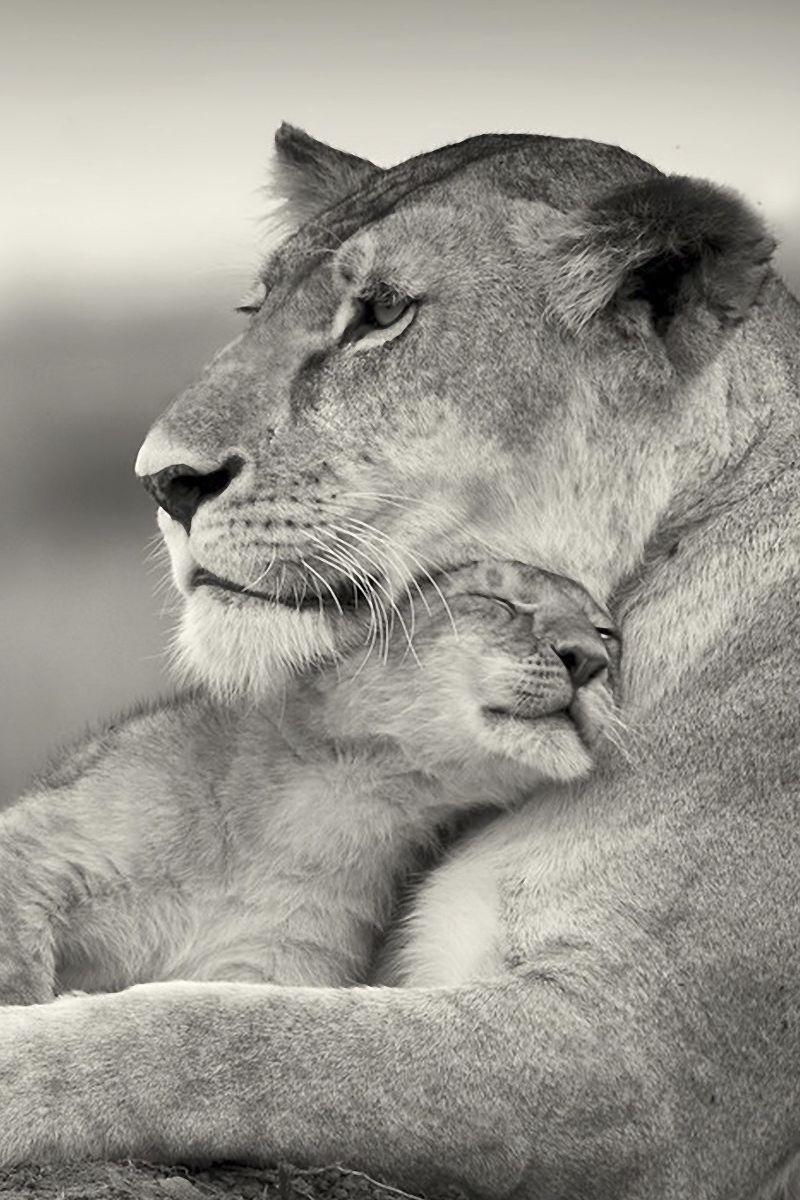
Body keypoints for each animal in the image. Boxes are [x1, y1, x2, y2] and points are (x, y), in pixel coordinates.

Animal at [0, 561, 618, 1003]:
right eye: (497, 601)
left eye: (606, 632)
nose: (588, 659)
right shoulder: (38, 848)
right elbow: (17, 976)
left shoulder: (270, 964)